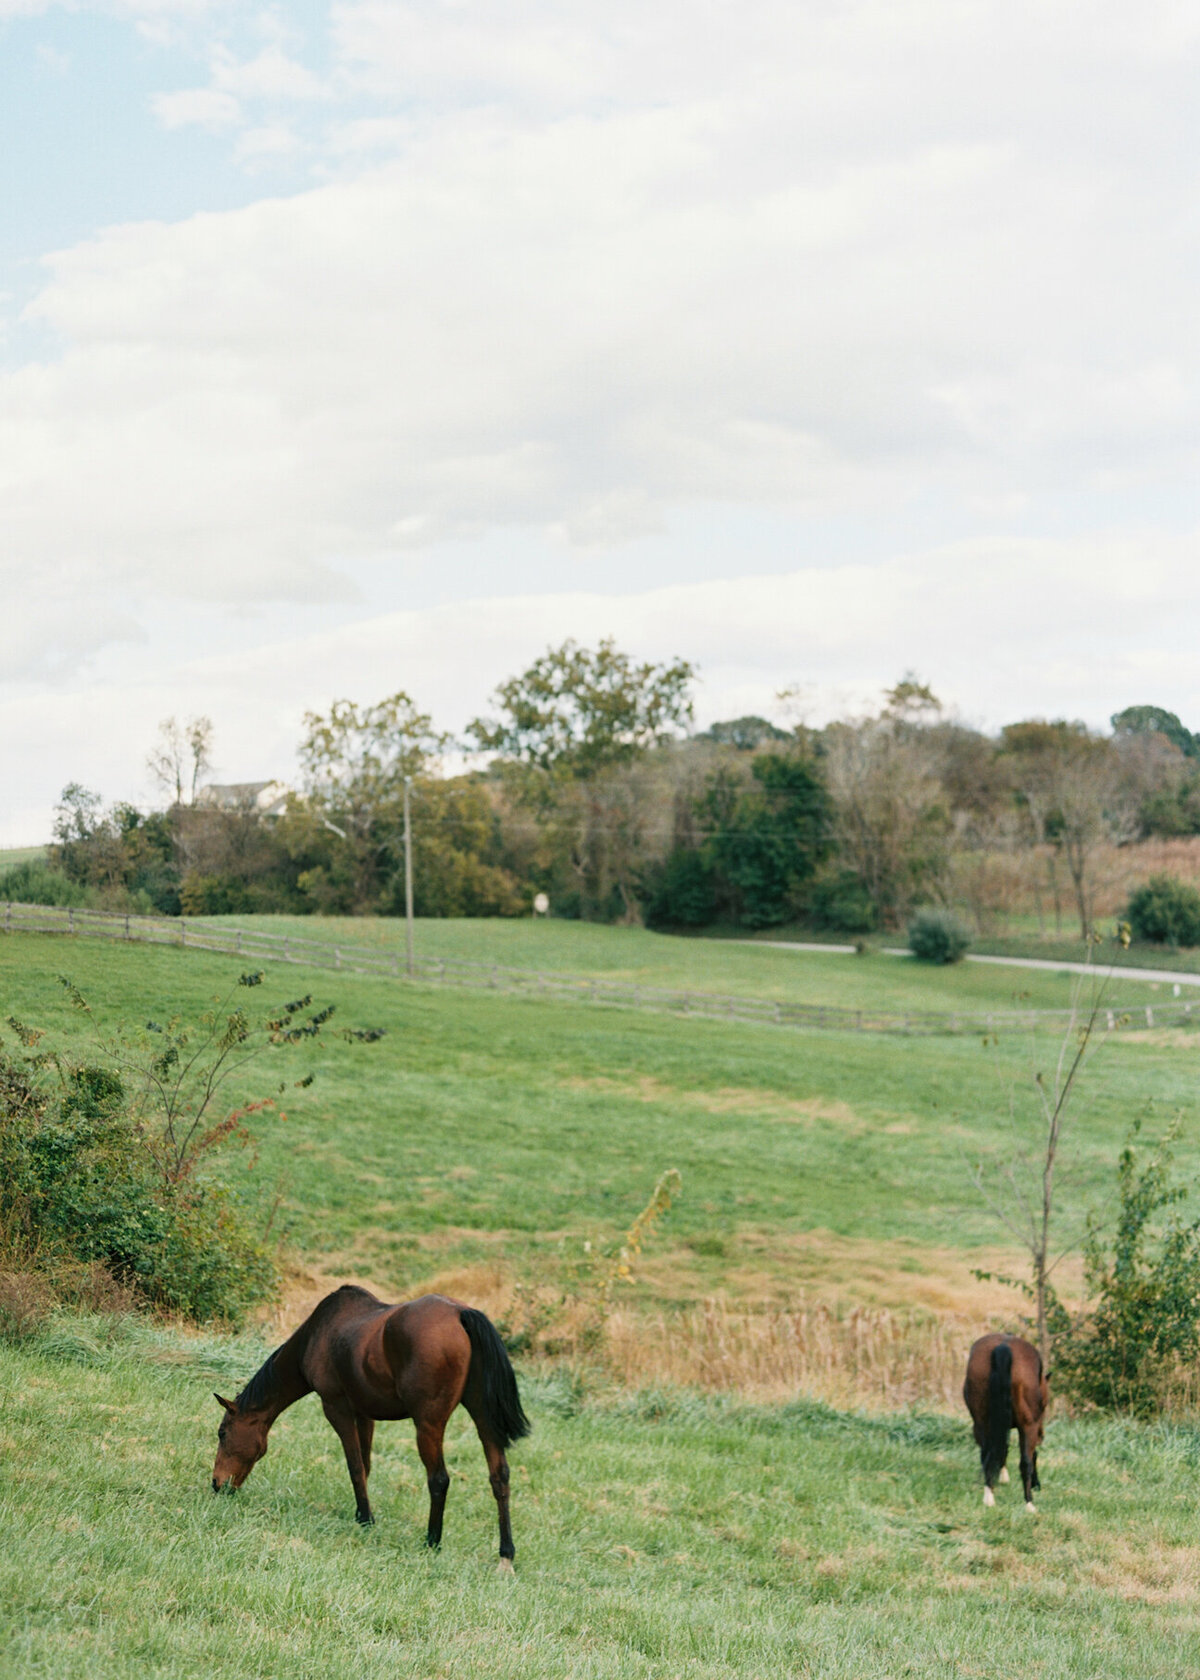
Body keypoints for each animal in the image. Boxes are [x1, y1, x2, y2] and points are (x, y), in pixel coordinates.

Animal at [210, 1283, 527, 1572]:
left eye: (222, 1433)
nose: (216, 1484)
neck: (317, 1334)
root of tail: (461, 1313)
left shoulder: (336, 1408)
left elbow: (354, 1465)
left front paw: (365, 1518)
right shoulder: (364, 1415)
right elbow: (366, 1465)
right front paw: (361, 1513)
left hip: (428, 1424)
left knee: (439, 1479)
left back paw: (432, 1541)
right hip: (484, 1418)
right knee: (499, 1478)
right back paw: (506, 1554)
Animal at [961, 1330, 1042, 1518]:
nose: (1042, 1435)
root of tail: (1003, 1347)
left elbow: (1002, 1447)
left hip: (981, 1422)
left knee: (987, 1454)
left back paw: (989, 1497)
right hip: (1028, 1425)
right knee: (1025, 1461)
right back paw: (1029, 1503)